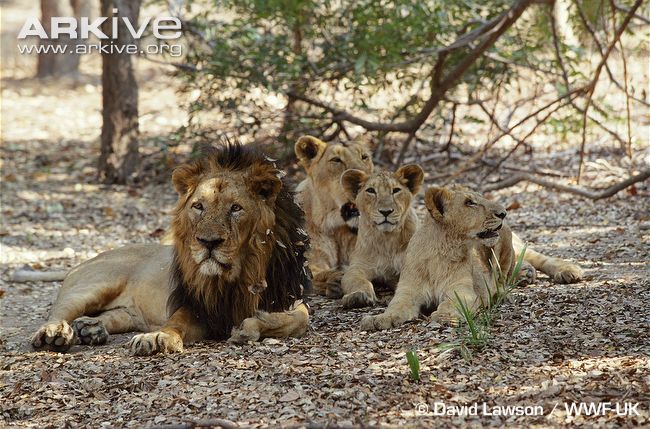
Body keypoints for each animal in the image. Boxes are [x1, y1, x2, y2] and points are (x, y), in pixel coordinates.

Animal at [31, 143, 311, 355]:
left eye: (236, 208)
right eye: (198, 206)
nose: (208, 242)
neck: (240, 273)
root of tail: (90, 258)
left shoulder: (291, 296)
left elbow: (298, 320)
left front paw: (250, 326)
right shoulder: (196, 306)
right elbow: (175, 322)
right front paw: (157, 338)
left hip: (128, 314)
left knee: (113, 316)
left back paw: (90, 329)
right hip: (92, 286)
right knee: (59, 310)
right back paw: (54, 334)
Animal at [338, 165, 424, 309]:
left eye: (396, 190)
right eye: (371, 191)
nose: (386, 212)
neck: (387, 240)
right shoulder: (357, 267)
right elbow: (357, 281)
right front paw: (357, 296)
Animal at [360, 185, 515, 331]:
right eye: (469, 202)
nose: (503, 213)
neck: (442, 251)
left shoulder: (462, 290)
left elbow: (451, 303)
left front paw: (445, 316)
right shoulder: (407, 291)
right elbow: (395, 306)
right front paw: (379, 318)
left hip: (507, 240)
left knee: (501, 279)